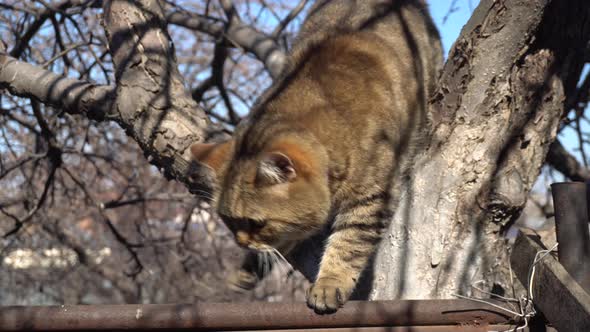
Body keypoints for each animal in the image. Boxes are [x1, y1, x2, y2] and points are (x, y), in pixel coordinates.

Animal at [192, 0, 442, 312]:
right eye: (228, 221)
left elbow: (348, 244)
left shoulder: (371, 197)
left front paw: (328, 283)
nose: (241, 242)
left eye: (255, 223)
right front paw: (248, 269)